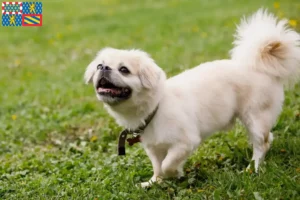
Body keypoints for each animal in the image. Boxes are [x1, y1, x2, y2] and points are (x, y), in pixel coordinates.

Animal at [84, 9, 300, 188]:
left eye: (124, 70)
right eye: (99, 66)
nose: (104, 68)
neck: (155, 109)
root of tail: (260, 67)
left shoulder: (185, 143)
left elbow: (167, 164)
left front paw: (175, 174)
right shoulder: (154, 149)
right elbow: (157, 166)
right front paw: (154, 182)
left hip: (255, 117)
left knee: (262, 143)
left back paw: (253, 168)